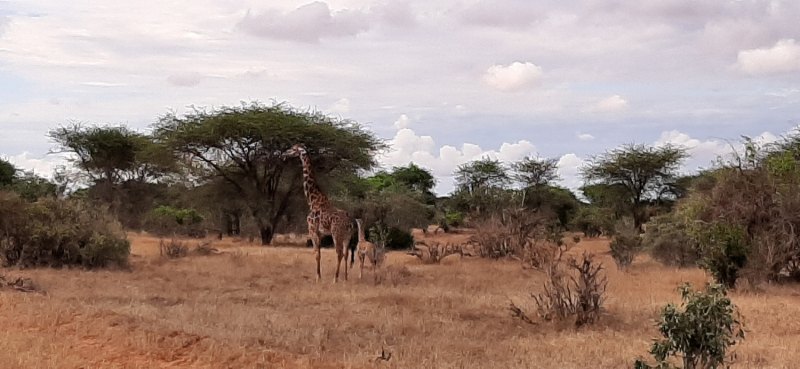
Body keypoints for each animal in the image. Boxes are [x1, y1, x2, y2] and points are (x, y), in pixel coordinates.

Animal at [284, 143, 354, 282]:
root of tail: (349, 223)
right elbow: (320, 253)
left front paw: (317, 277)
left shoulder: (312, 230)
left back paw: (335, 279)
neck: (313, 200)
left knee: (339, 253)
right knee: (346, 253)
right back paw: (345, 278)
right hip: (347, 236)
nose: (284, 153)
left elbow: (316, 254)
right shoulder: (320, 233)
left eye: (294, 148)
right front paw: (319, 276)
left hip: (336, 233)